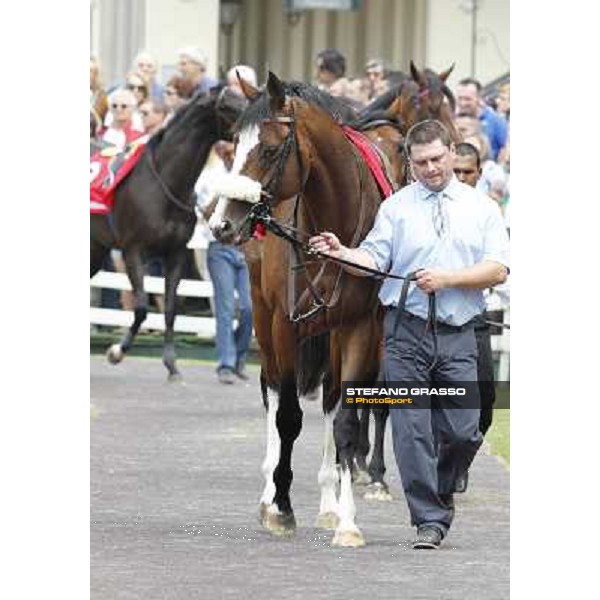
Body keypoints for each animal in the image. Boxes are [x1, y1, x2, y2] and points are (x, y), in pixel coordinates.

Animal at [90, 86, 245, 380]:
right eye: (232, 107)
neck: (164, 181)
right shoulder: (132, 250)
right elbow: (141, 308)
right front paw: (117, 351)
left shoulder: (176, 253)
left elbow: (172, 308)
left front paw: (172, 365)